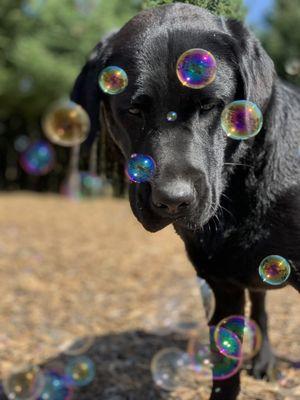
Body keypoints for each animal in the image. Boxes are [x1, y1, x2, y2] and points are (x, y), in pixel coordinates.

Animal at [71, 3, 300, 400]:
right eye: (133, 110)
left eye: (211, 105)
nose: (172, 200)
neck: (240, 193)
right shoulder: (222, 284)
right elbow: (225, 370)